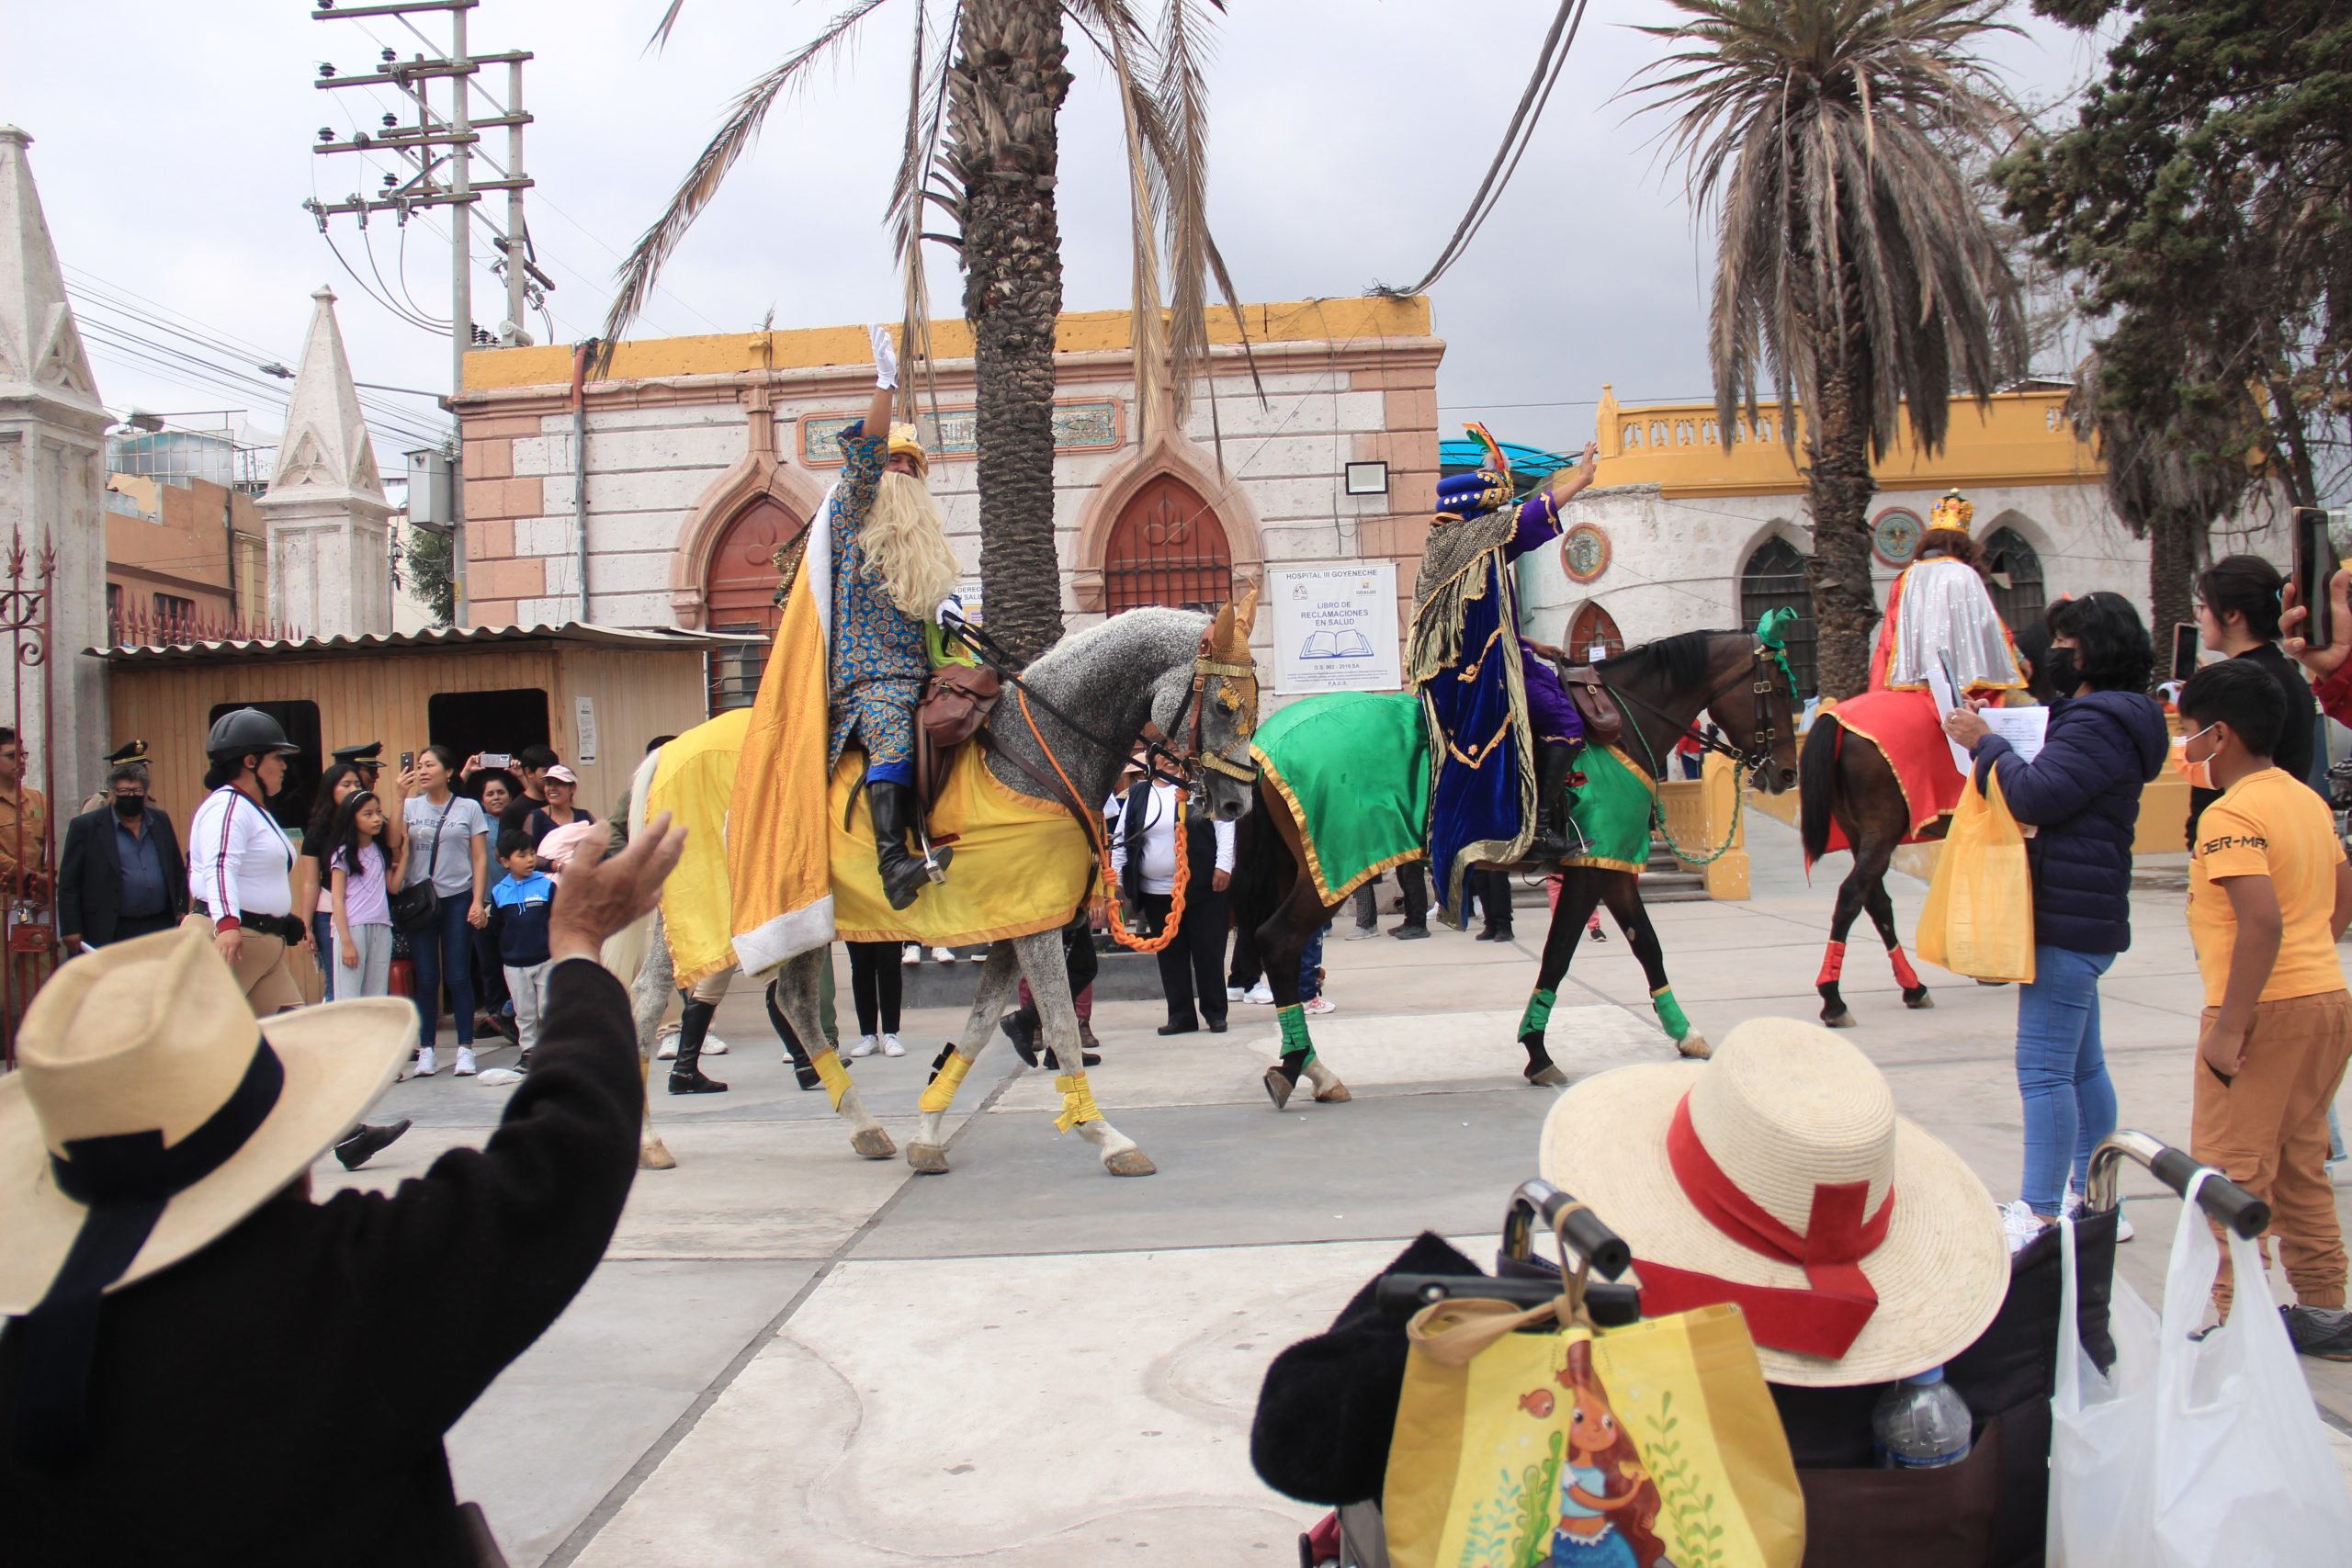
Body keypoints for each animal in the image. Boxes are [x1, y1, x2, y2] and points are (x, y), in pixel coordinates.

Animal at [1232, 625, 1796, 1104]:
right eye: (1776, 689)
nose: (1786, 773)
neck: (1622, 726)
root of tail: (1265, 744)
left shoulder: (1611, 869)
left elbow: (1647, 946)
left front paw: (1685, 1034)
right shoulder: (1589, 870)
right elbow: (1558, 956)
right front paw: (1538, 1051)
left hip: (1301, 867)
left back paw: (1303, 1064)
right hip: (1335, 870)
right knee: (1278, 940)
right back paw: (1303, 1065)